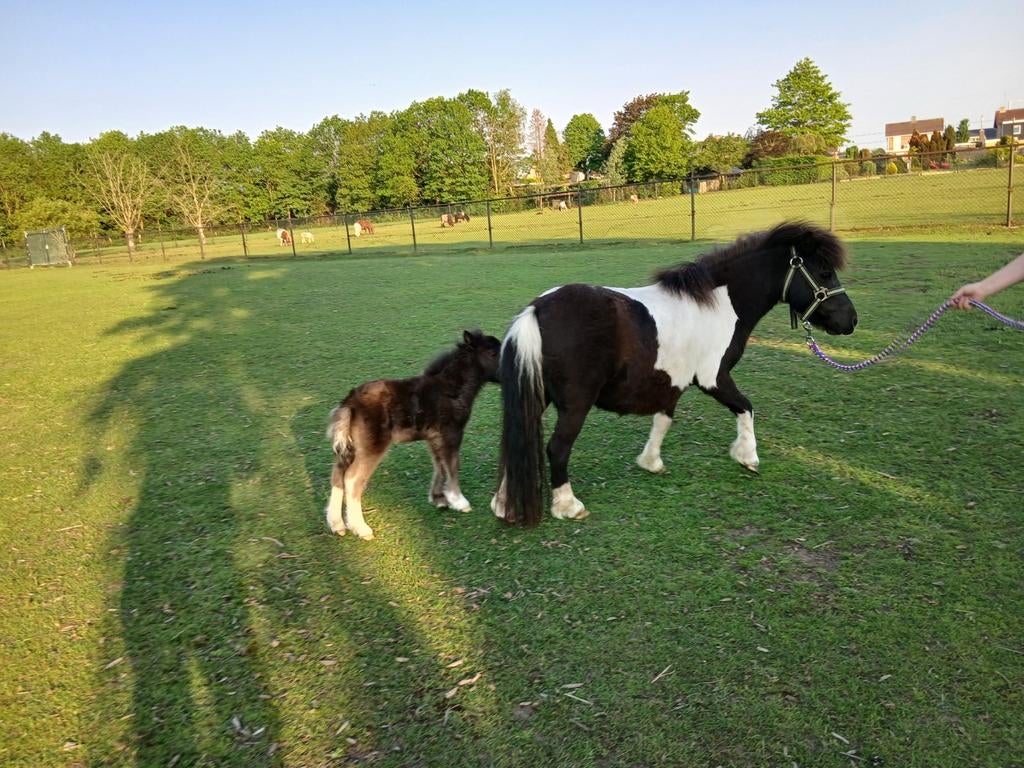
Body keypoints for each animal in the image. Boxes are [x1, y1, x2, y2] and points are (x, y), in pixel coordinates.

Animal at [326, 330, 502, 540]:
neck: (452, 389)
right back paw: (361, 528)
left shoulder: (434, 437)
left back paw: (337, 525)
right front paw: (459, 502)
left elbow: (439, 465)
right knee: (352, 480)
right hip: (371, 447)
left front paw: (439, 499)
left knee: (337, 475)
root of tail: (349, 403)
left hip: (349, 448)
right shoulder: (452, 433)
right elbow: (452, 465)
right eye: (492, 353)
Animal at [490, 221, 858, 526]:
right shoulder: (714, 378)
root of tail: (537, 309)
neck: (719, 304)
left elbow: (663, 420)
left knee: (517, 440)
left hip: (537, 395)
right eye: (824, 272)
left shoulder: (671, 382)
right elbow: (746, 407)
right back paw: (568, 505)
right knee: (557, 448)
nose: (851, 321)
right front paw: (748, 457)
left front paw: (651, 462)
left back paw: (503, 503)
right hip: (576, 404)